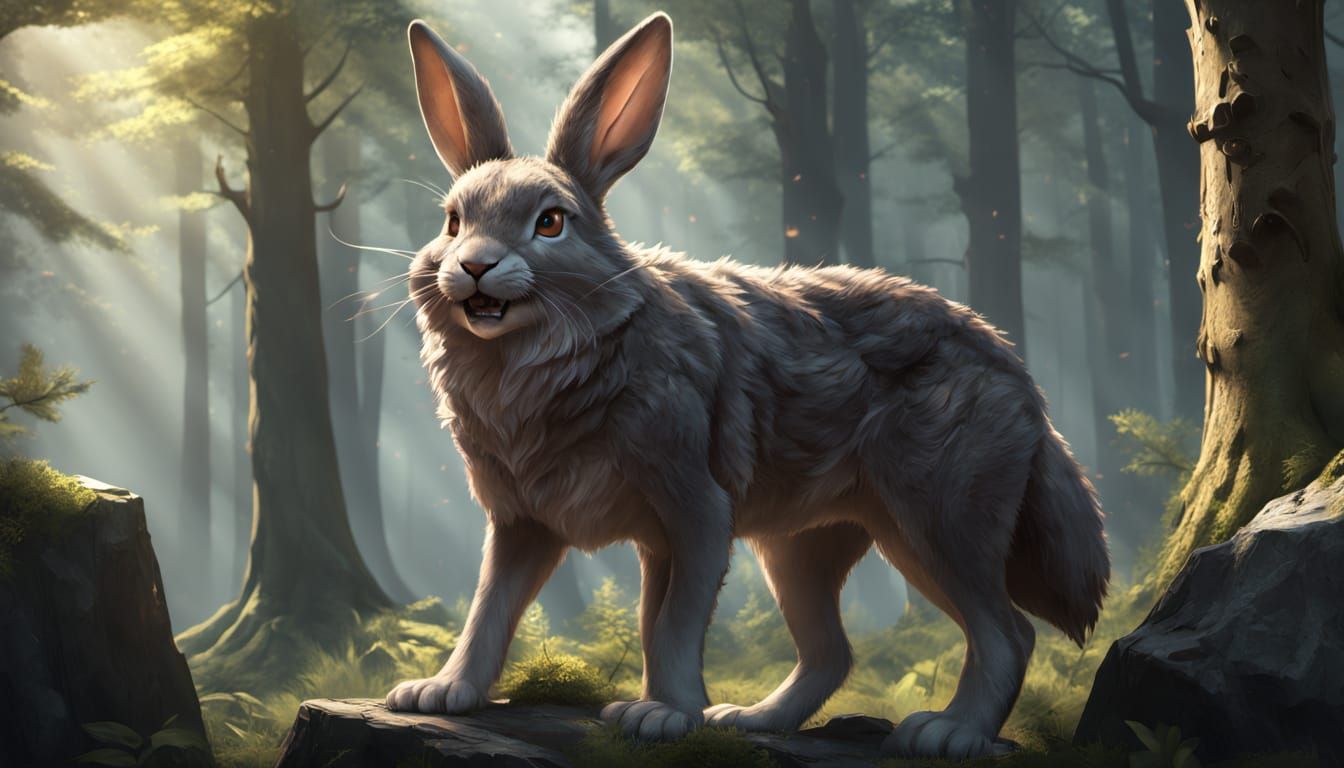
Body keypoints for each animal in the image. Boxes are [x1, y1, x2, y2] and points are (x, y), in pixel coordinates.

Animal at [383, 11, 1109, 760]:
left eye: (550, 222)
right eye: (453, 221)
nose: (473, 267)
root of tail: (1021, 381)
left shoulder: (697, 513)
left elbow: (672, 625)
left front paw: (664, 716)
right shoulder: (527, 525)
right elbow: (493, 609)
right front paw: (442, 693)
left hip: (939, 523)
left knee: (1008, 632)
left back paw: (948, 732)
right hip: (805, 548)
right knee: (833, 653)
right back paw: (750, 719)